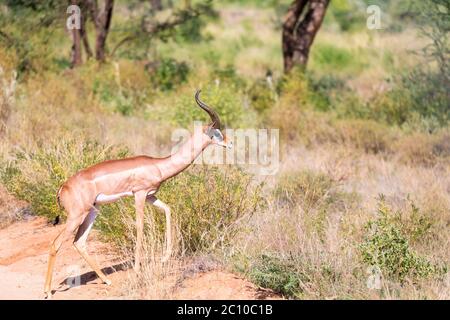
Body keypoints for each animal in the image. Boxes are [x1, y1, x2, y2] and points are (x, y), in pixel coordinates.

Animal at [43, 89, 230, 298]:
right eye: (216, 132)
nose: (229, 144)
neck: (158, 165)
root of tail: (62, 188)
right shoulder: (139, 194)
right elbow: (140, 227)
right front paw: (138, 269)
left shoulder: (150, 196)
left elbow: (168, 210)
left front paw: (164, 257)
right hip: (76, 215)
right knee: (55, 244)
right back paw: (48, 292)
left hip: (92, 211)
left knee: (79, 242)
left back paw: (106, 280)